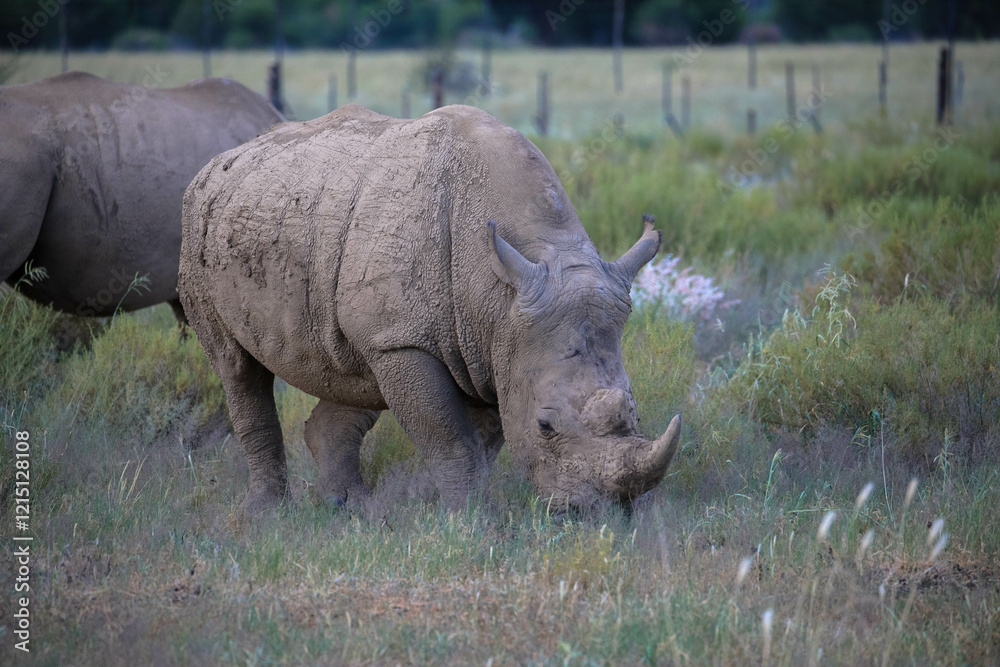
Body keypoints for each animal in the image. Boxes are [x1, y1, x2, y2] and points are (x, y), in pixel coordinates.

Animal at [178, 104, 682, 514]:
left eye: (634, 412)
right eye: (545, 425)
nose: (600, 514)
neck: (500, 293)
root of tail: (219, 162)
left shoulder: (489, 346)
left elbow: (482, 438)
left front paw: (451, 509)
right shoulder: (407, 341)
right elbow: (451, 438)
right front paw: (474, 523)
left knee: (350, 372)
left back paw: (350, 509)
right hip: (199, 227)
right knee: (237, 368)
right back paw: (266, 515)